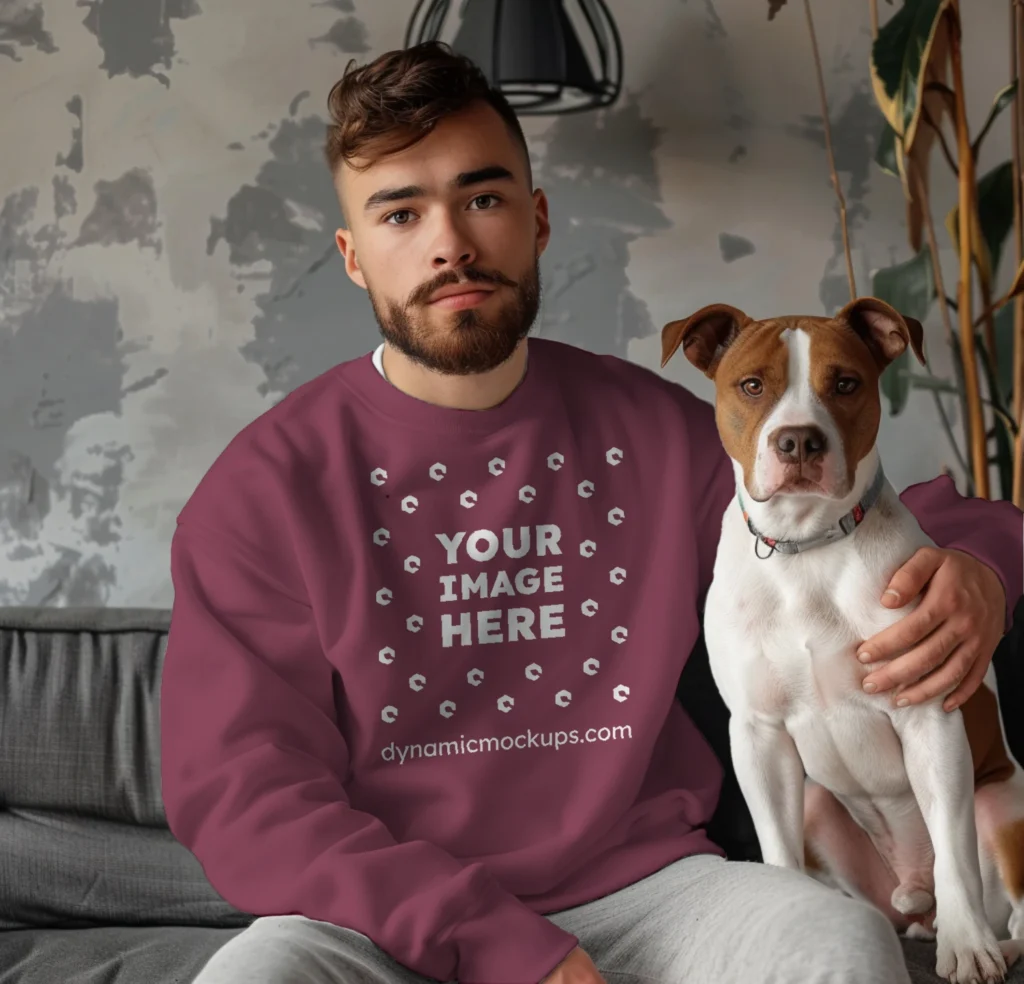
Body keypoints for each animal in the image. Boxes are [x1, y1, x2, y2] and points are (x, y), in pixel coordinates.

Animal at [663, 296, 1024, 982]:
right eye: (752, 385)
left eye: (846, 384)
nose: (798, 439)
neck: (806, 546)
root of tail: (913, 899)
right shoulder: (758, 735)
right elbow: (776, 851)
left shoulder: (929, 716)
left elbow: (953, 849)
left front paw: (967, 948)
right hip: (817, 806)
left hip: (1002, 805)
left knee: (1005, 902)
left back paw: (989, 938)